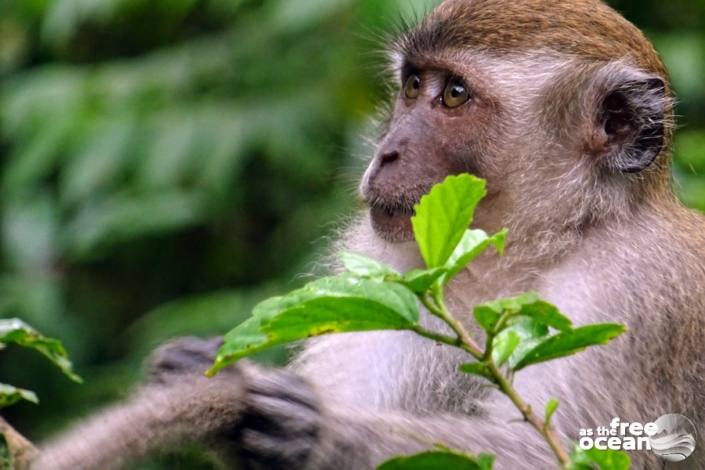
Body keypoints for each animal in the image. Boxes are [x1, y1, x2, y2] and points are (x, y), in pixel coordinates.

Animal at [30, 0, 704, 470]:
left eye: (453, 94)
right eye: (411, 86)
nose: (386, 153)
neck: (543, 241)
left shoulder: (635, 297)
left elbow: (560, 452)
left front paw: (317, 432)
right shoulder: (398, 277)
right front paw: (195, 370)